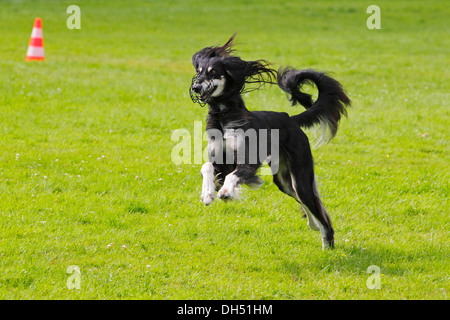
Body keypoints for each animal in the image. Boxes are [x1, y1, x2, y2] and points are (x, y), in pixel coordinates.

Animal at [188, 35, 350, 250]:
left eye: (213, 72)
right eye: (198, 71)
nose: (196, 87)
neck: (224, 117)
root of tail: (290, 118)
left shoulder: (248, 162)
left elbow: (232, 176)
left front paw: (225, 192)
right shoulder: (220, 161)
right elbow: (206, 167)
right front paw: (207, 194)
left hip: (300, 176)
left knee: (316, 208)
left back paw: (327, 247)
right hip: (283, 181)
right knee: (306, 202)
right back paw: (313, 224)